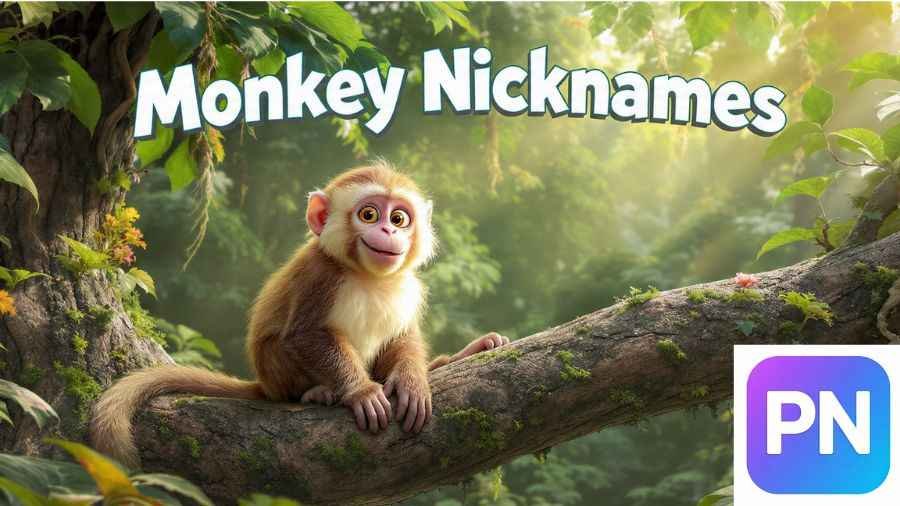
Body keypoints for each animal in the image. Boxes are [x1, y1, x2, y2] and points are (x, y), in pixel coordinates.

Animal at [90, 161, 509, 468]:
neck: (366, 277)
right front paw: (360, 390)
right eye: (369, 214)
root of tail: (265, 384)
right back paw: (317, 392)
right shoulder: (319, 277)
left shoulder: (407, 286)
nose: (390, 232)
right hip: (276, 371)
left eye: (399, 218)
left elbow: (401, 338)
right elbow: (304, 335)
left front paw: (412, 380)